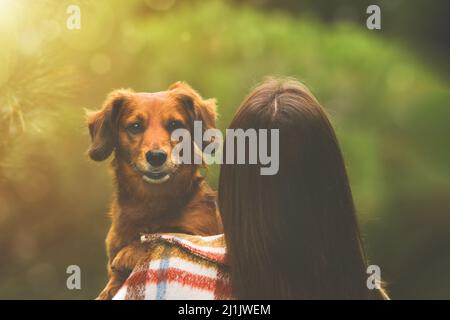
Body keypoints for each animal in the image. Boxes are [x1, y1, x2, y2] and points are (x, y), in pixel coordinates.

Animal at [87, 81, 222, 298]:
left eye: (175, 125)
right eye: (135, 126)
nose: (156, 156)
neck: (152, 202)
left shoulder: (202, 232)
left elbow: (168, 234)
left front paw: (131, 251)